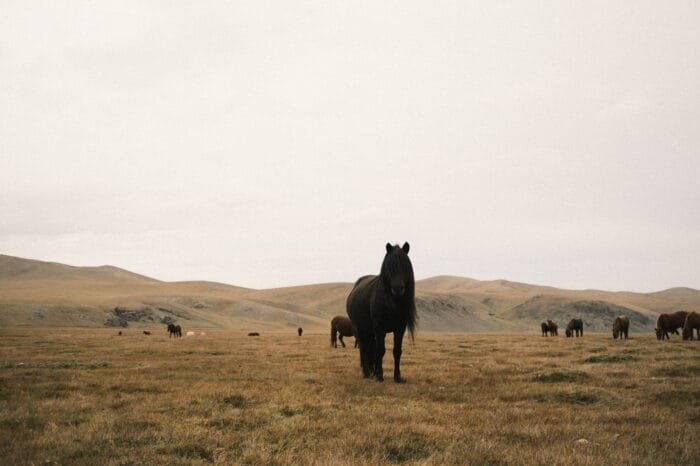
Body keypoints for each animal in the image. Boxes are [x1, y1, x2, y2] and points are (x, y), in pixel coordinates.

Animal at [346, 240, 416, 382]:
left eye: (405, 265)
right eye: (389, 267)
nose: (398, 288)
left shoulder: (400, 328)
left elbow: (397, 351)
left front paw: (397, 376)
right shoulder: (379, 328)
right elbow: (381, 350)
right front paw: (379, 375)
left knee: (369, 347)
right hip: (359, 328)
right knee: (363, 347)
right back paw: (366, 372)